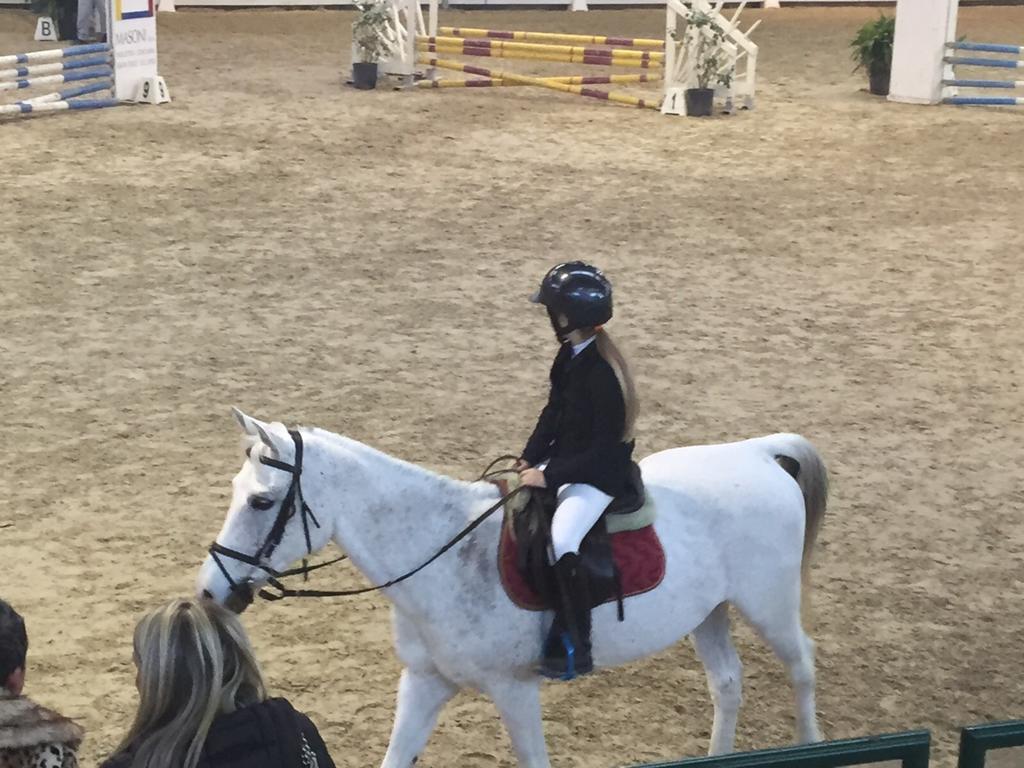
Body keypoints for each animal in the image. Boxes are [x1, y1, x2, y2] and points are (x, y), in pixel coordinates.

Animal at [195, 411, 827, 768]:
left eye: (261, 502)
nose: (209, 592)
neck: (444, 553)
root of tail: (754, 452)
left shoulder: (515, 690)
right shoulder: (425, 682)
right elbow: (396, 757)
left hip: (768, 605)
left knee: (801, 667)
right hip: (709, 611)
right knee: (727, 683)